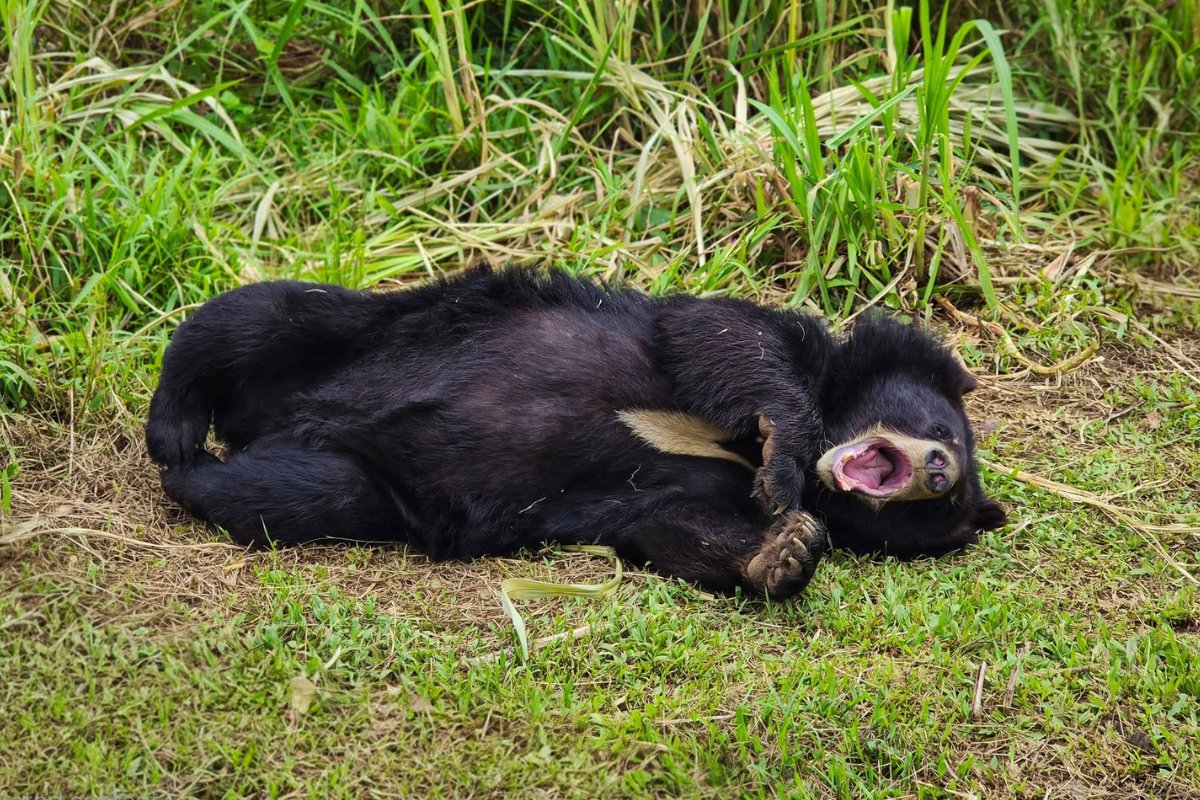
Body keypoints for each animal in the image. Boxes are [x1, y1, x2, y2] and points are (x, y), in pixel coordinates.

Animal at [145, 264, 1007, 599]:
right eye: (940, 429)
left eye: (942, 502)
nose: (937, 469)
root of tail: (268, 420)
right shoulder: (745, 337)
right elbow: (722, 341)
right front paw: (783, 458)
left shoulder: (667, 491)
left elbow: (673, 525)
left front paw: (787, 550)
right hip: (365, 327)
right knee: (246, 318)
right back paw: (174, 433)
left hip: (358, 484)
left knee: (278, 494)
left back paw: (204, 470)